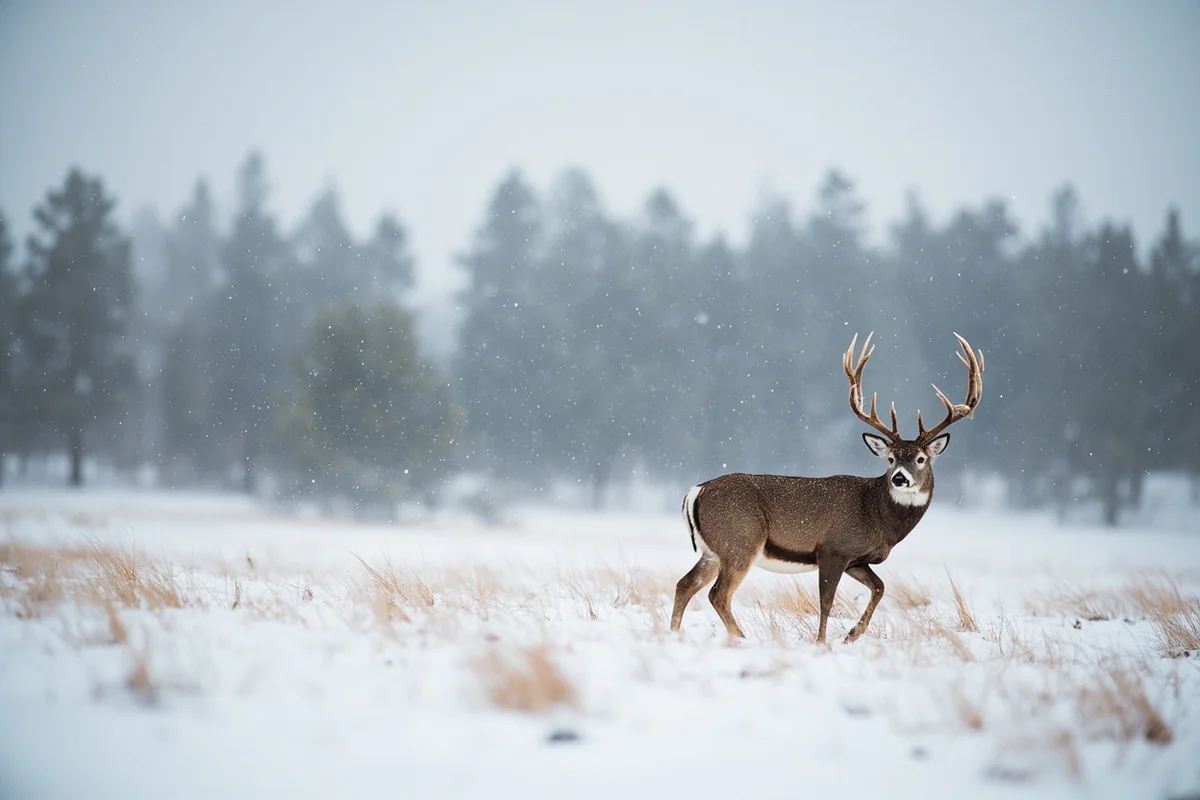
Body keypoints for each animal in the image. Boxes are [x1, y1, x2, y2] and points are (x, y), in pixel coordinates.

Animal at [670, 332, 984, 646]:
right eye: (891, 458)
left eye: (921, 458)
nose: (899, 478)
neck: (879, 518)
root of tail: (695, 491)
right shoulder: (835, 549)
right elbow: (827, 602)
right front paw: (823, 643)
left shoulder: (857, 559)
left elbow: (880, 587)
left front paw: (852, 635)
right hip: (740, 541)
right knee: (718, 594)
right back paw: (741, 637)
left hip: (713, 551)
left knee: (685, 584)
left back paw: (673, 632)